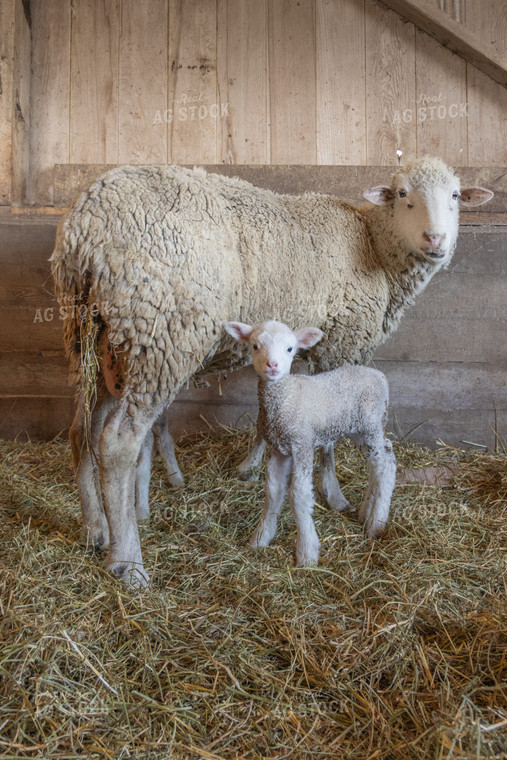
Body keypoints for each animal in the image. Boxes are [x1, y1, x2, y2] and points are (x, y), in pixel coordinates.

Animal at [226, 318, 396, 568]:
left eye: (290, 348)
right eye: (255, 346)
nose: (272, 365)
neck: (287, 396)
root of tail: (380, 376)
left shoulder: (302, 444)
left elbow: (299, 494)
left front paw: (307, 553)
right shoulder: (279, 449)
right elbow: (273, 491)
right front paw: (260, 539)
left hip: (370, 424)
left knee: (384, 466)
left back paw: (377, 524)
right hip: (360, 430)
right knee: (383, 459)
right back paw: (366, 513)